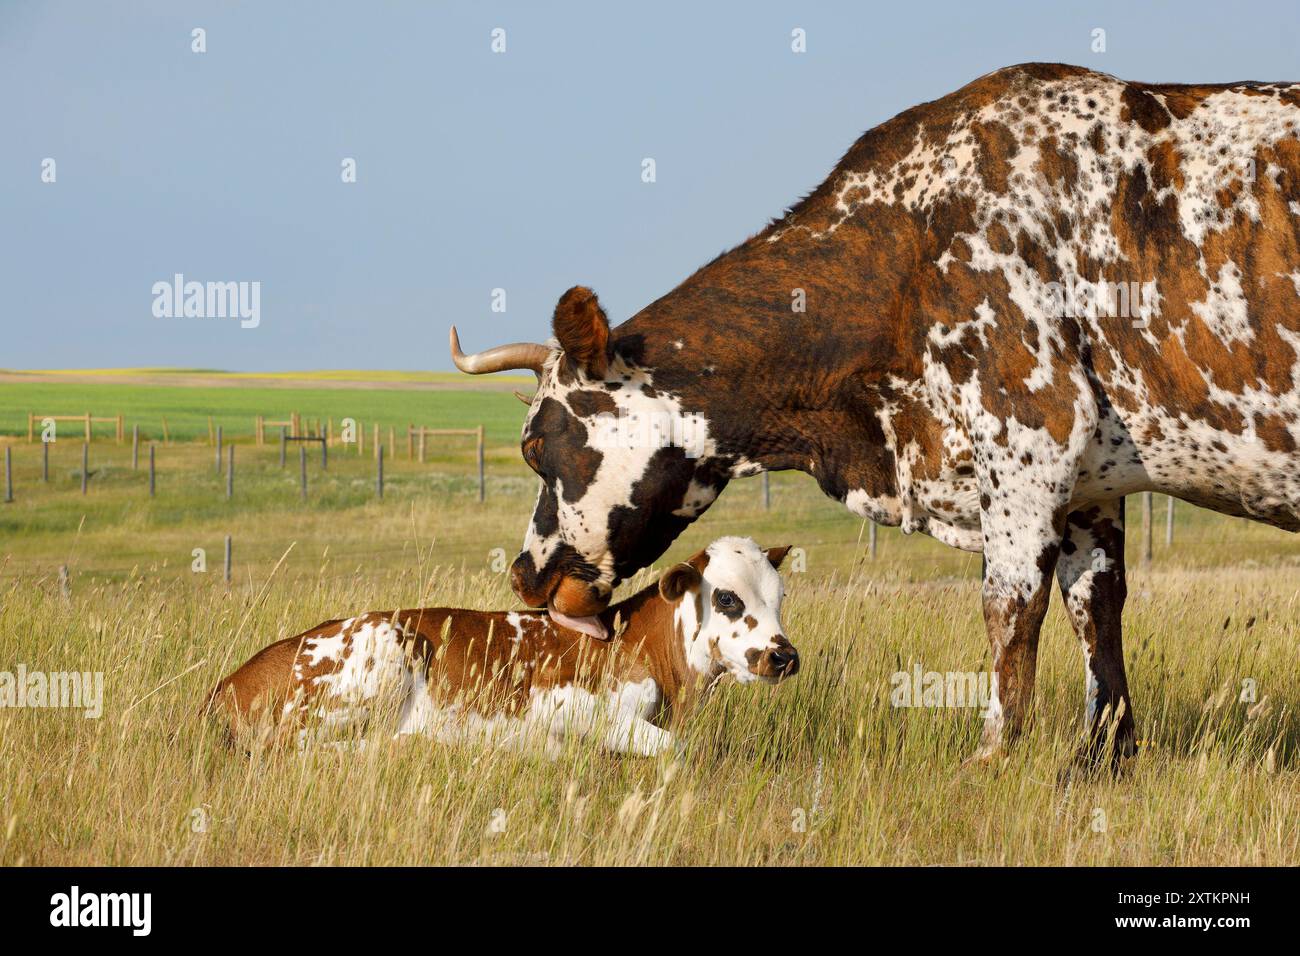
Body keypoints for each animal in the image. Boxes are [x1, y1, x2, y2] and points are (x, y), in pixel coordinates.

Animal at [208, 538, 795, 754]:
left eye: (779, 595)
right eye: (726, 598)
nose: (784, 655)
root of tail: (232, 680)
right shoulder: (560, 702)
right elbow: (678, 750)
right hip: (386, 652)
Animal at [452, 63, 1300, 770]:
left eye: (536, 446)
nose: (527, 576)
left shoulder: (1029, 448)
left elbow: (1009, 611)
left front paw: (992, 756)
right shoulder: (1093, 487)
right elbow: (1097, 613)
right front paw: (1102, 757)